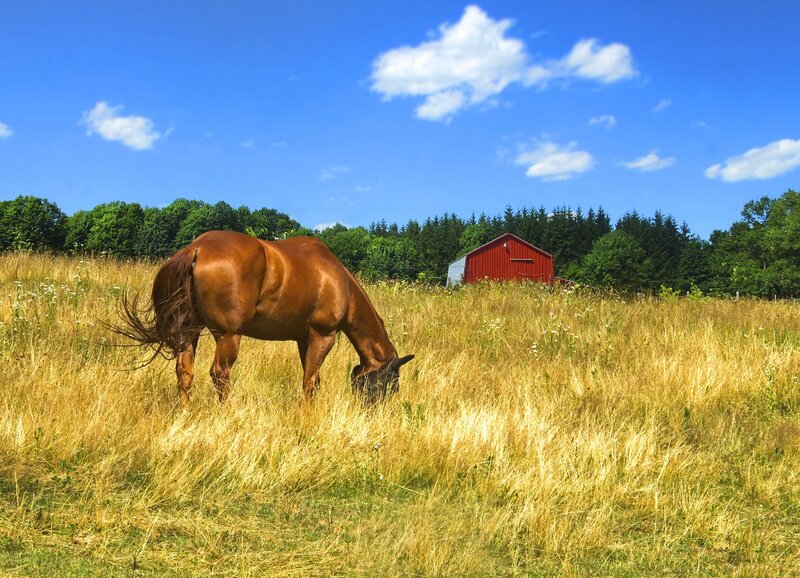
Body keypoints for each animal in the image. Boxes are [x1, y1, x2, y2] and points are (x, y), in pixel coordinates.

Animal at [116, 230, 414, 405]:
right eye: (392, 385)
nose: (372, 413)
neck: (339, 281)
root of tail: (197, 248)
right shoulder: (323, 335)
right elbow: (310, 382)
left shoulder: (303, 339)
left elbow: (312, 379)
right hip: (228, 335)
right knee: (220, 374)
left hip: (189, 330)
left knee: (184, 370)